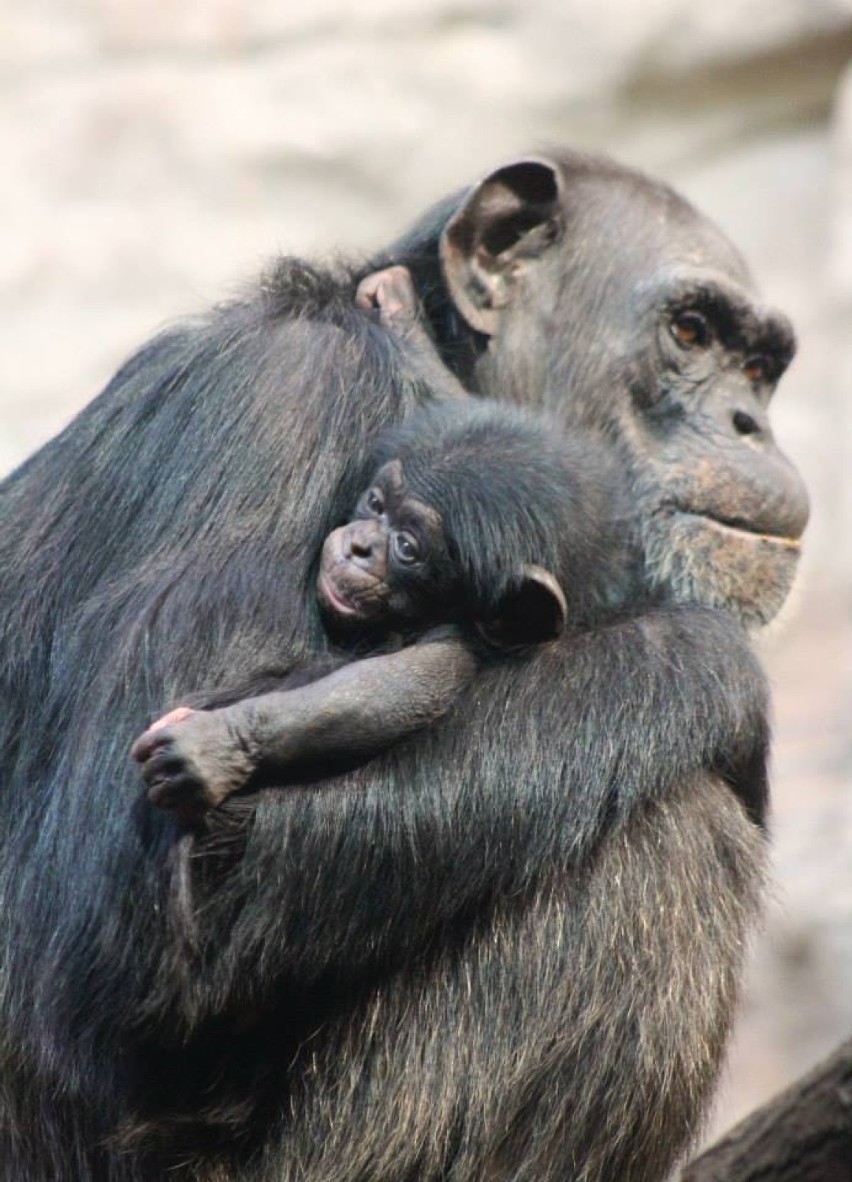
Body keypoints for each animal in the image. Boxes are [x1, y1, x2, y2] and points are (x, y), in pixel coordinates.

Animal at [132, 271, 633, 817]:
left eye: (408, 548)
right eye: (375, 503)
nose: (360, 547)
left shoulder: (458, 636)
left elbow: (386, 692)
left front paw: (214, 747)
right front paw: (398, 309)